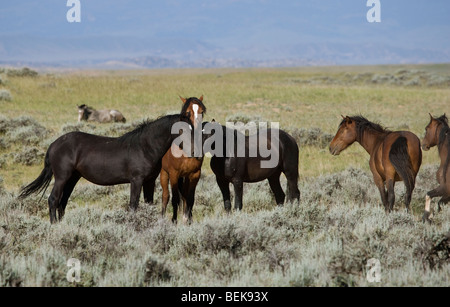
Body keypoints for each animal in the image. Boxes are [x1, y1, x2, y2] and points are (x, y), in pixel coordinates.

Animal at [18, 113, 193, 224]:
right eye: (182, 129)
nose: (193, 150)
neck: (145, 147)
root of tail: (54, 144)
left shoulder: (149, 181)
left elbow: (148, 203)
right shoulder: (136, 180)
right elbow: (133, 204)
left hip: (72, 178)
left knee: (63, 201)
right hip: (62, 177)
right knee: (53, 199)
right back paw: (54, 225)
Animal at [159, 96, 207, 224]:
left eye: (202, 112)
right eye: (188, 113)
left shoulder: (195, 174)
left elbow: (190, 198)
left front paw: (188, 219)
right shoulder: (174, 174)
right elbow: (175, 198)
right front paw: (174, 220)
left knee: (184, 195)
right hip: (164, 173)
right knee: (165, 196)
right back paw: (162, 217)